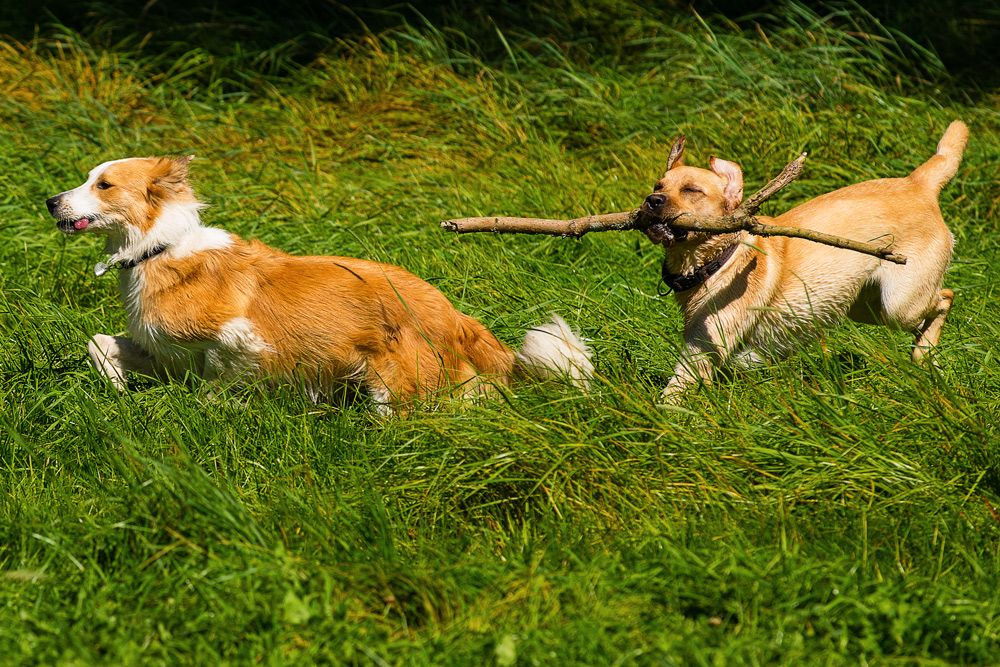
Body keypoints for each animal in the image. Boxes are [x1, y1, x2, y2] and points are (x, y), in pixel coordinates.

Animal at [48, 157, 592, 412]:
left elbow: (218, 381)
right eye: (87, 178)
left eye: (103, 185)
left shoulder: (241, 338)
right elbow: (100, 345)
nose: (50, 201)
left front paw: (217, 409)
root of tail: (456, 318)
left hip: (393, 389)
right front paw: (118, 390)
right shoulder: (165, 352)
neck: (158, 248)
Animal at [640, 120, 968, 402]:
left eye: (692, 190)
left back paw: (923, 353)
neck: (717, 262)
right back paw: (924, 356)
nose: (651, 201)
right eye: (658, 186)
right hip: (868, 306)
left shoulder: (702, 350)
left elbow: (673, 394)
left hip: (899, 303)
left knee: (945, 297)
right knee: (928, 314)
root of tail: (917, 182)